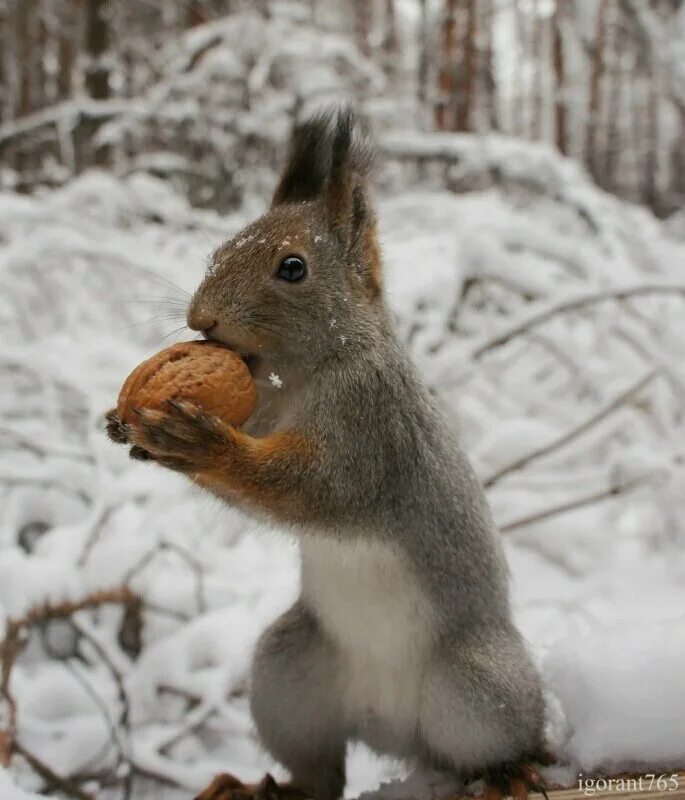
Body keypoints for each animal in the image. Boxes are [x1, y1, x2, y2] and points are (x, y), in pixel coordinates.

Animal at [105, 108, 544, 800]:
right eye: (218, 252)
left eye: (293, 268)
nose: (201, 318)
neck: (301, 376)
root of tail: (391, 736)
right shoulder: (260, 408)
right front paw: (131, 429)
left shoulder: (371, 430)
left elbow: (314, 489)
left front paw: (202, 443)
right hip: (288, 676)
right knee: (321, 774)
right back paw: (264, 787)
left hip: (481, 686)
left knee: (493, 736)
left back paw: (511, 770)